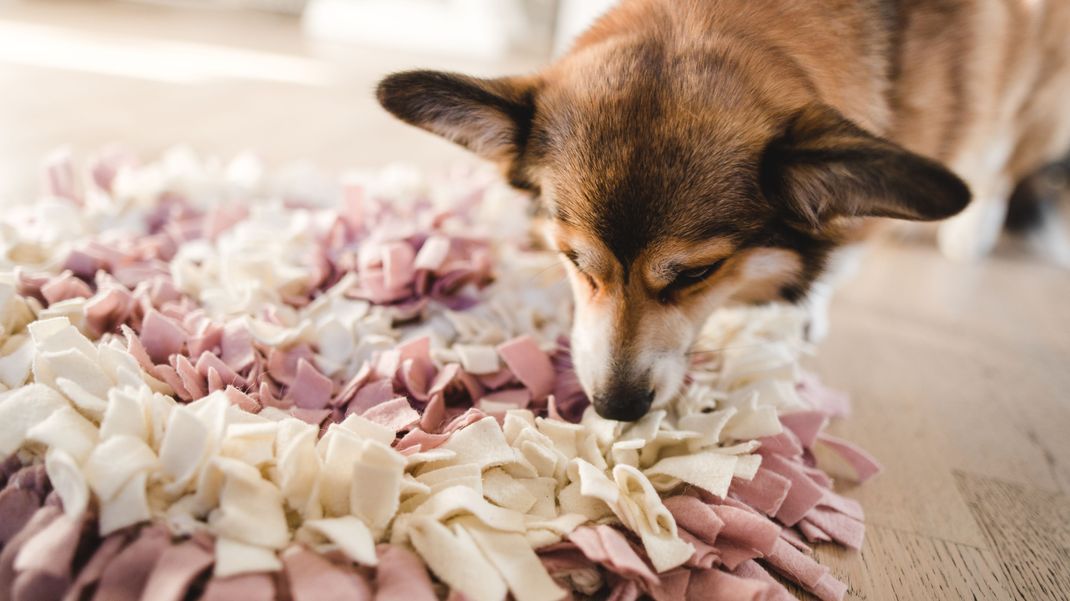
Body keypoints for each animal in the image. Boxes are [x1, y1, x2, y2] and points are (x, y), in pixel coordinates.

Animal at [376, 0, 1070, 419]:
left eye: (696, 273)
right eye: (574, 259)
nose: (616, 409)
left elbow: (838, 255)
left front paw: (802, 316)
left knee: (1004, 153)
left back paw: (975, 228)